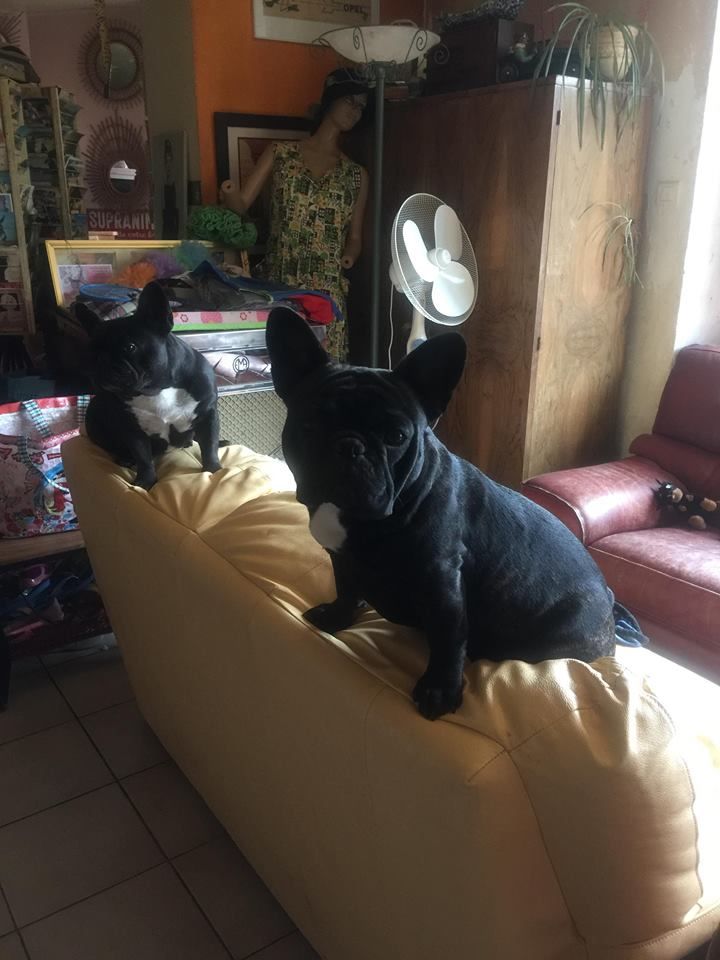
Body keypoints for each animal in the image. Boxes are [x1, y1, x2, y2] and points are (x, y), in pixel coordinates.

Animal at [80, 281, 221, 490]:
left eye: (130, 347)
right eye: (91, 353)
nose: (101, 362)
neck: (155, 389)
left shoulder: (208, 414)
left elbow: (210, 445)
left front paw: (214, 470)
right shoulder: (133, 429)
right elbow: (143, 457)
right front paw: (145, 482)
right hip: (94, 412)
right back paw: (125, 459)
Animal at [266, 308, 619, 720]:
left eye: (397, 437)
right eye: (309, 425)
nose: (349, 447)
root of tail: (609, 600)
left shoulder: (441, 582)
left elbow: (447, 636)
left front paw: (439, 691)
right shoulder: (341, 558)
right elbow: (346, 589)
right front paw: (336, 618)